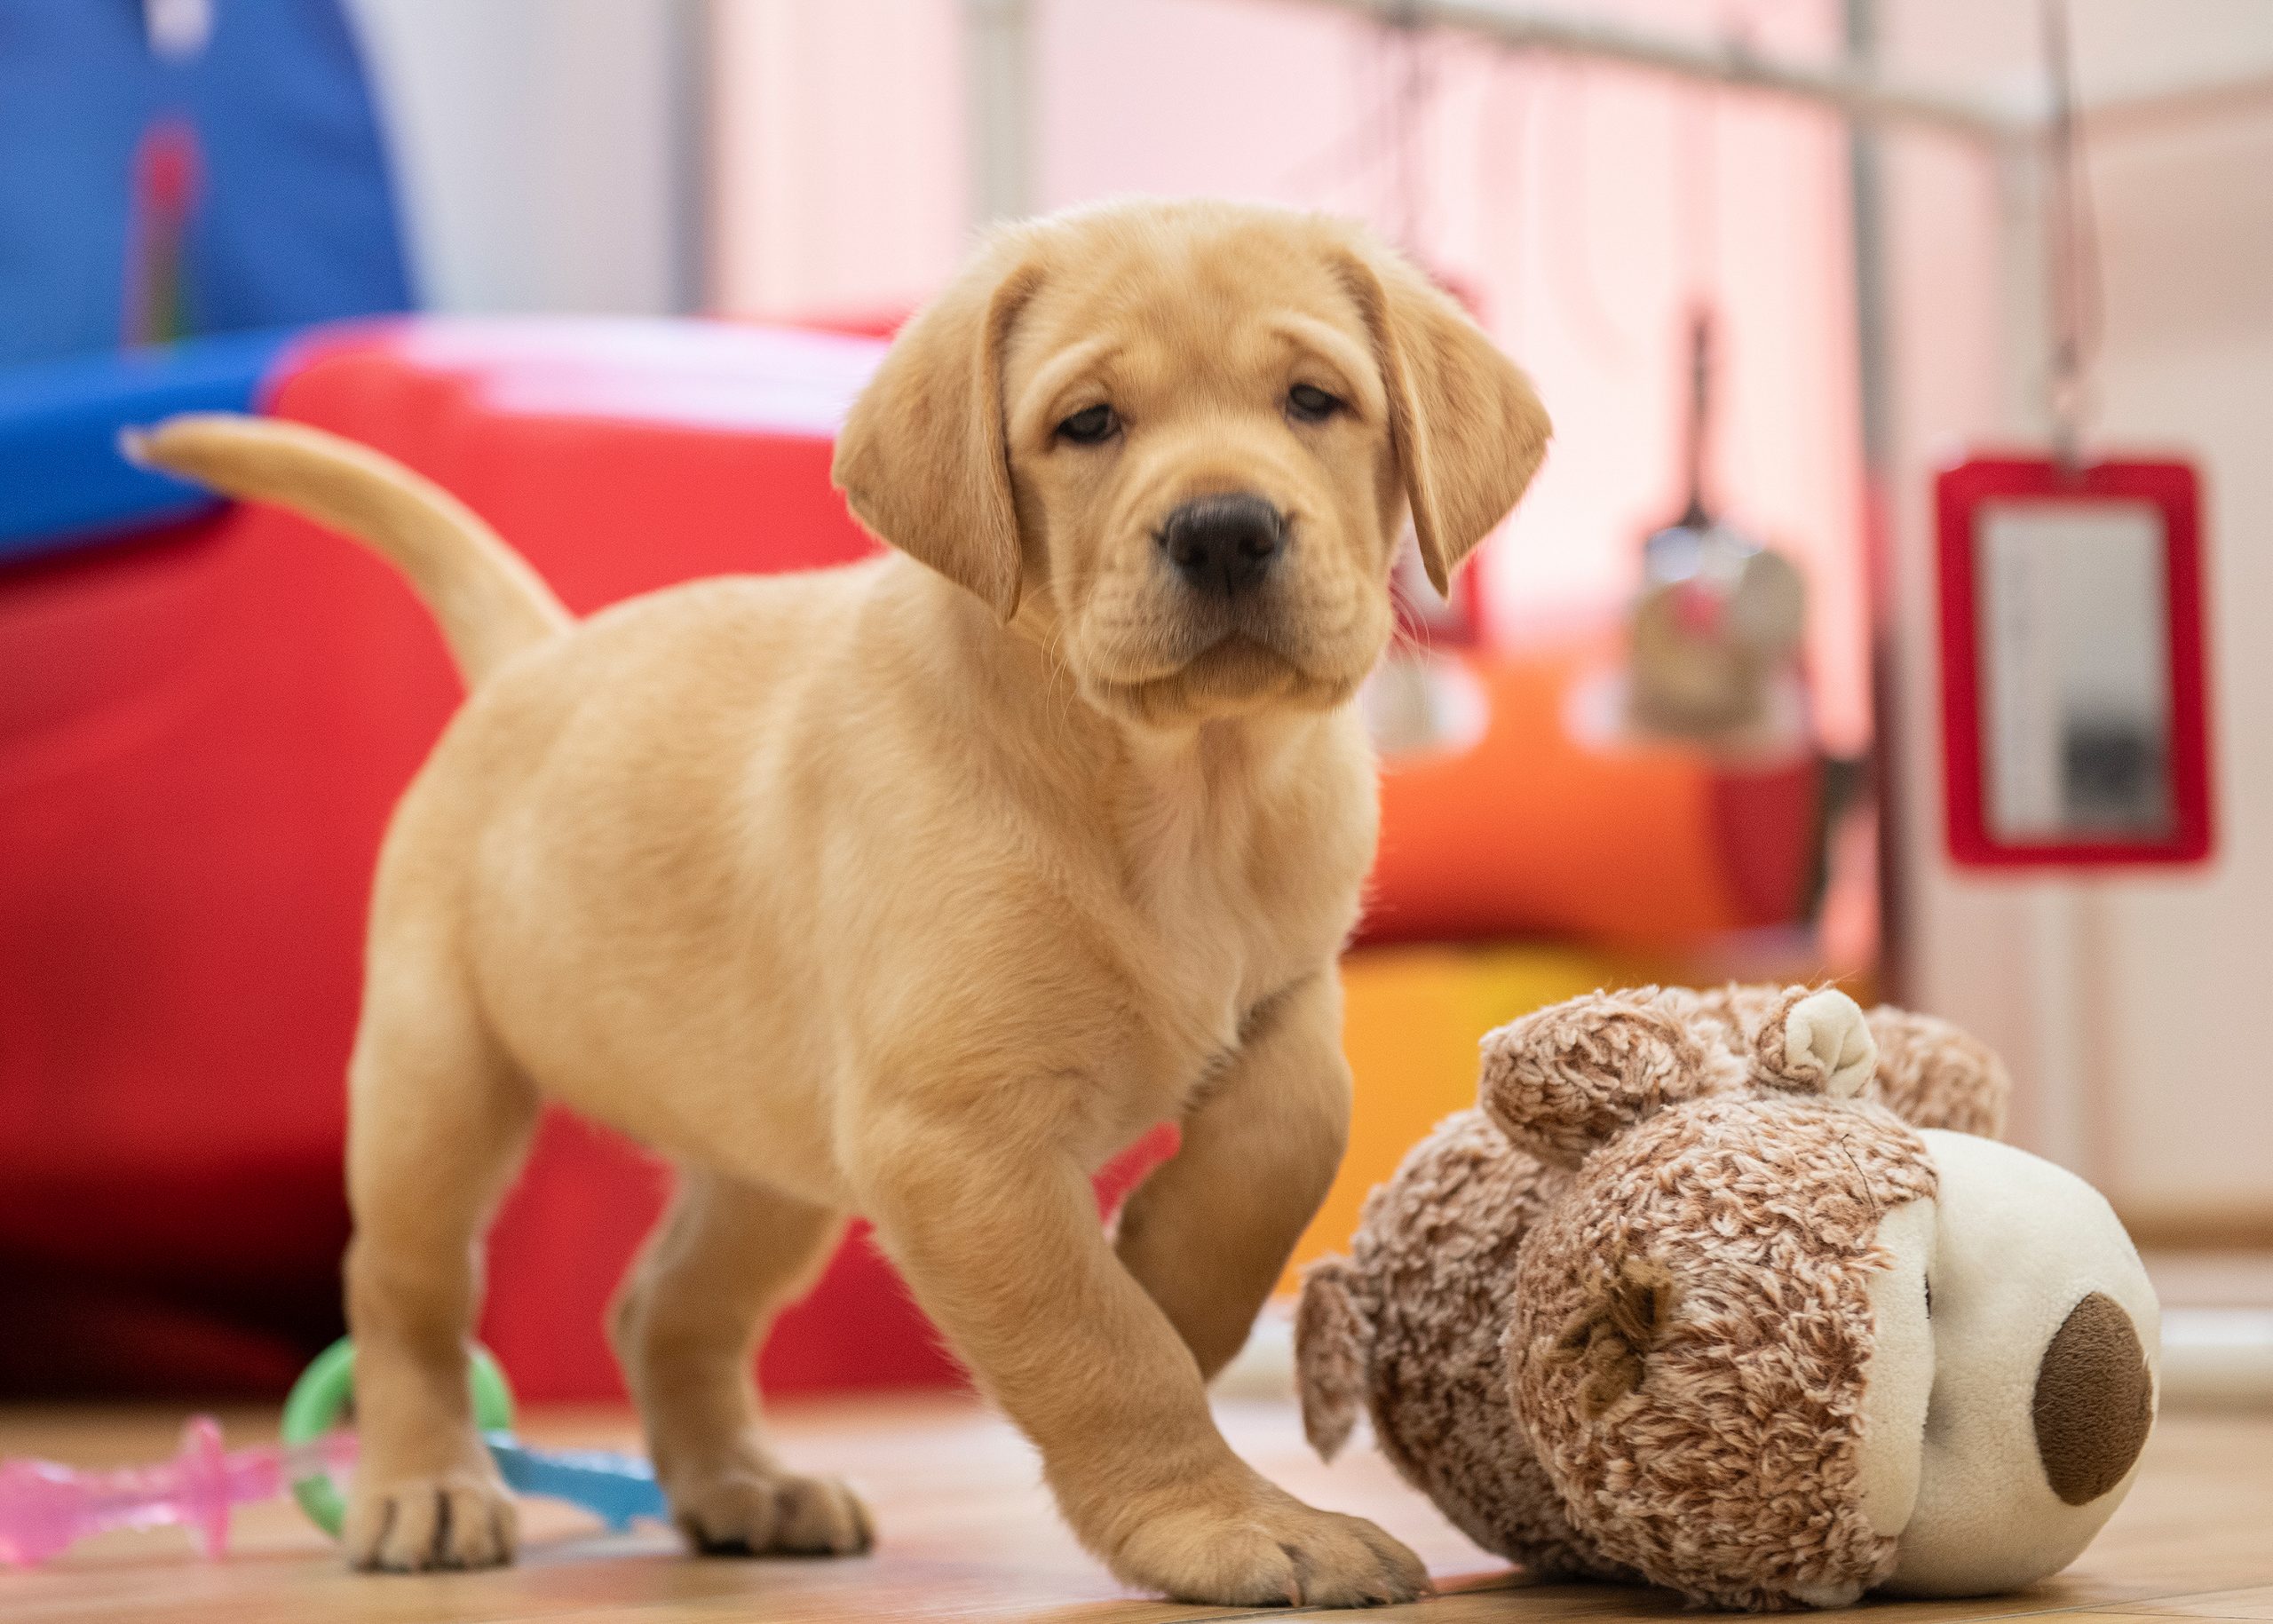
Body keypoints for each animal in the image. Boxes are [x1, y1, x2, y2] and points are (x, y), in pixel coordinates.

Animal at [124, 195, 1545, 1601]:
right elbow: (1099, 1346)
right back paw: (426, 1485)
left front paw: (1171, 1276)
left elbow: (1287, 1136)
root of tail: (538, 657)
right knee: (404, 1293)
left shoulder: (1283, 994)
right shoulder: (950, 1134)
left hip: (773, 1153)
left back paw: (744, 1486)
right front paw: (1223, 1515)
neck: (1177, 782)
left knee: (665, 1305)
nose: (1225, 528)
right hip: (439, 1076)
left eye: (1314, 400)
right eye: (1088, 423)